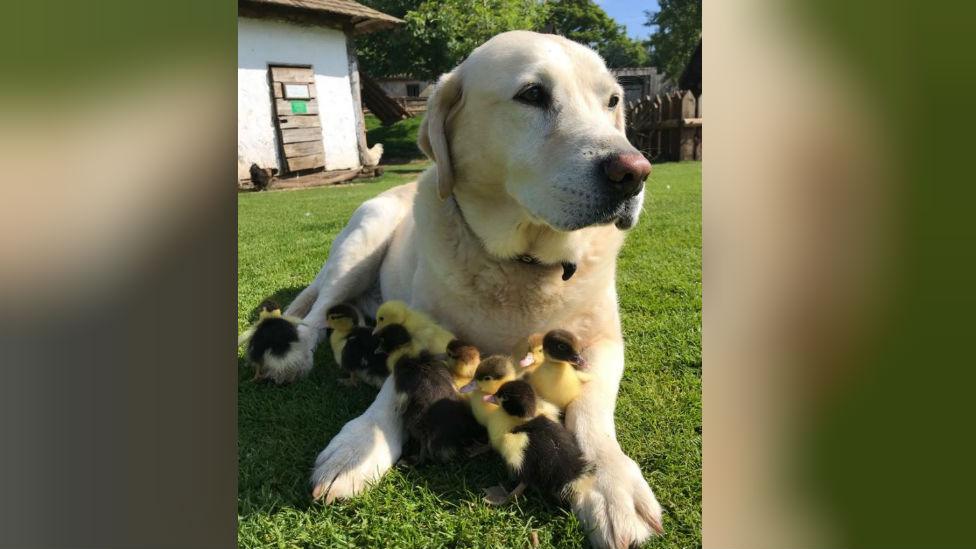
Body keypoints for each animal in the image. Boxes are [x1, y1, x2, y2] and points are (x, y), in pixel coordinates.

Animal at [286, 31, 660, 548]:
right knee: (315, 312)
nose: (634, 173)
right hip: (363, 238)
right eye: (532, 94)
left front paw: (611, 480)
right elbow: (391, 391)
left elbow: (591, 410)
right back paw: (296, 352)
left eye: (612, 102)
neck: (522, 264)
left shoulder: (605, 343)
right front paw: (358, 443)